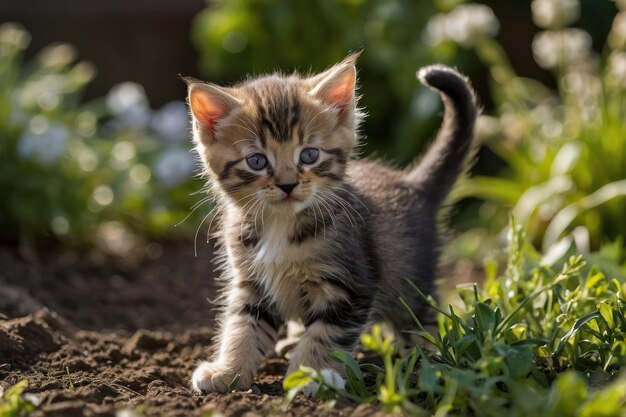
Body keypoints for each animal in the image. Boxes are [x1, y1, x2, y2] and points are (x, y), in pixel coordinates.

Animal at [184, 53, 472, 394]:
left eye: (309, 155)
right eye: (256, 161)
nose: (287, 185)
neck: (281, 224)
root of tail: (413, 185)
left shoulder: (350, 285)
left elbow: (325, 334)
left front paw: (312, 374)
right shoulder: (250, 282)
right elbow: (241, 325)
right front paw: (228, 371)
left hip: (411, 277)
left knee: (421, 312)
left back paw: (425, 353)